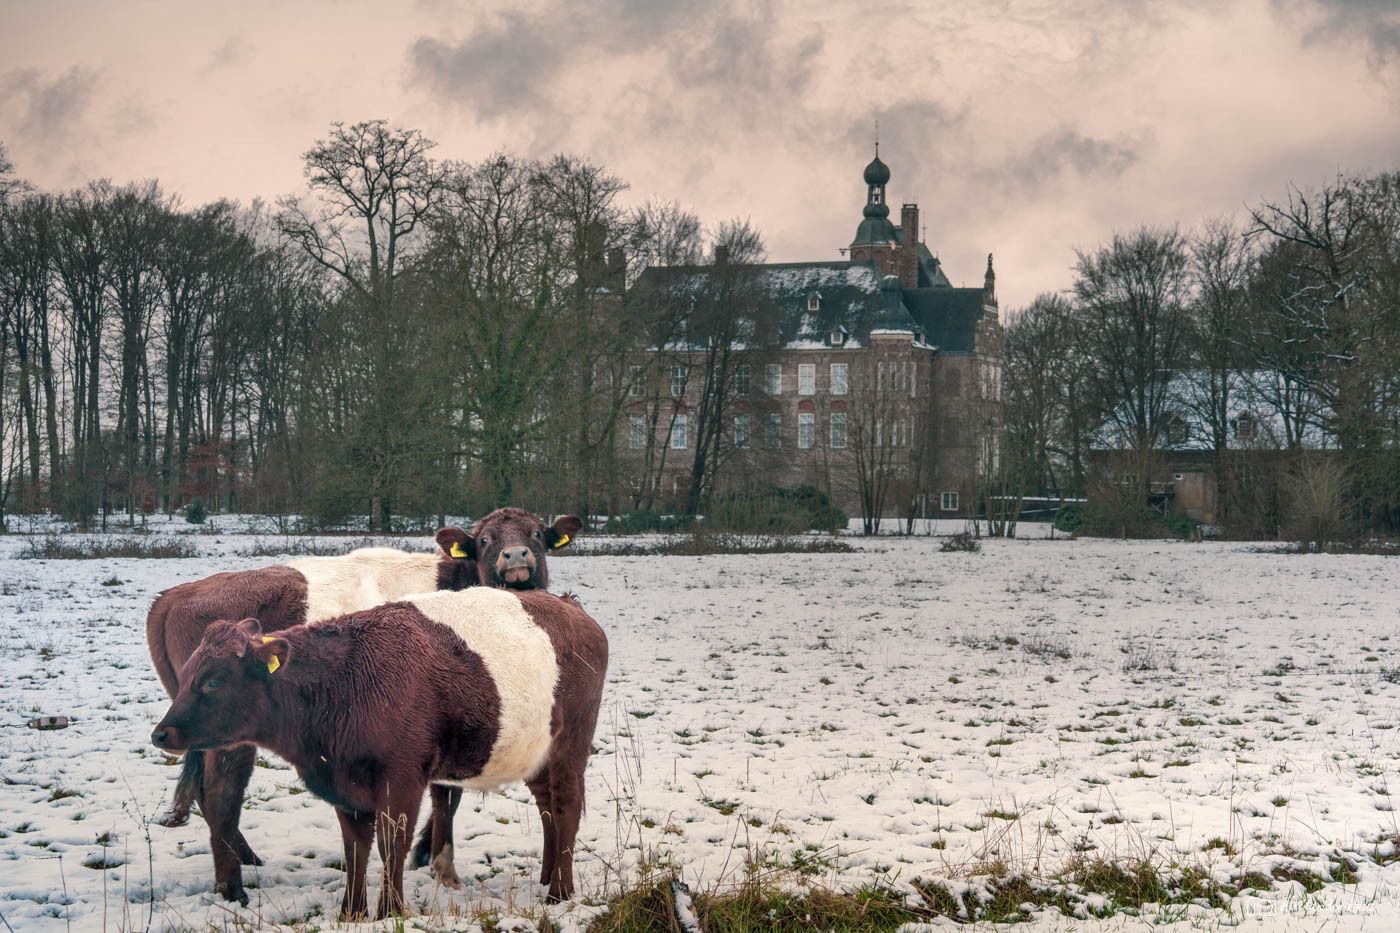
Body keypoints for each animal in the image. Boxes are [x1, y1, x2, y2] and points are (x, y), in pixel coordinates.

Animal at [145, 511, 582, 904]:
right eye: (486, 540)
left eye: (537, 533)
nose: (516, 556)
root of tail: (171, 596)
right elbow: (446, 795)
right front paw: (431, 857)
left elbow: (444, 793)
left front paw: (429, 855)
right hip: (227, 737)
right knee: (221, 794)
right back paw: (232, 887)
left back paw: (245, 859)